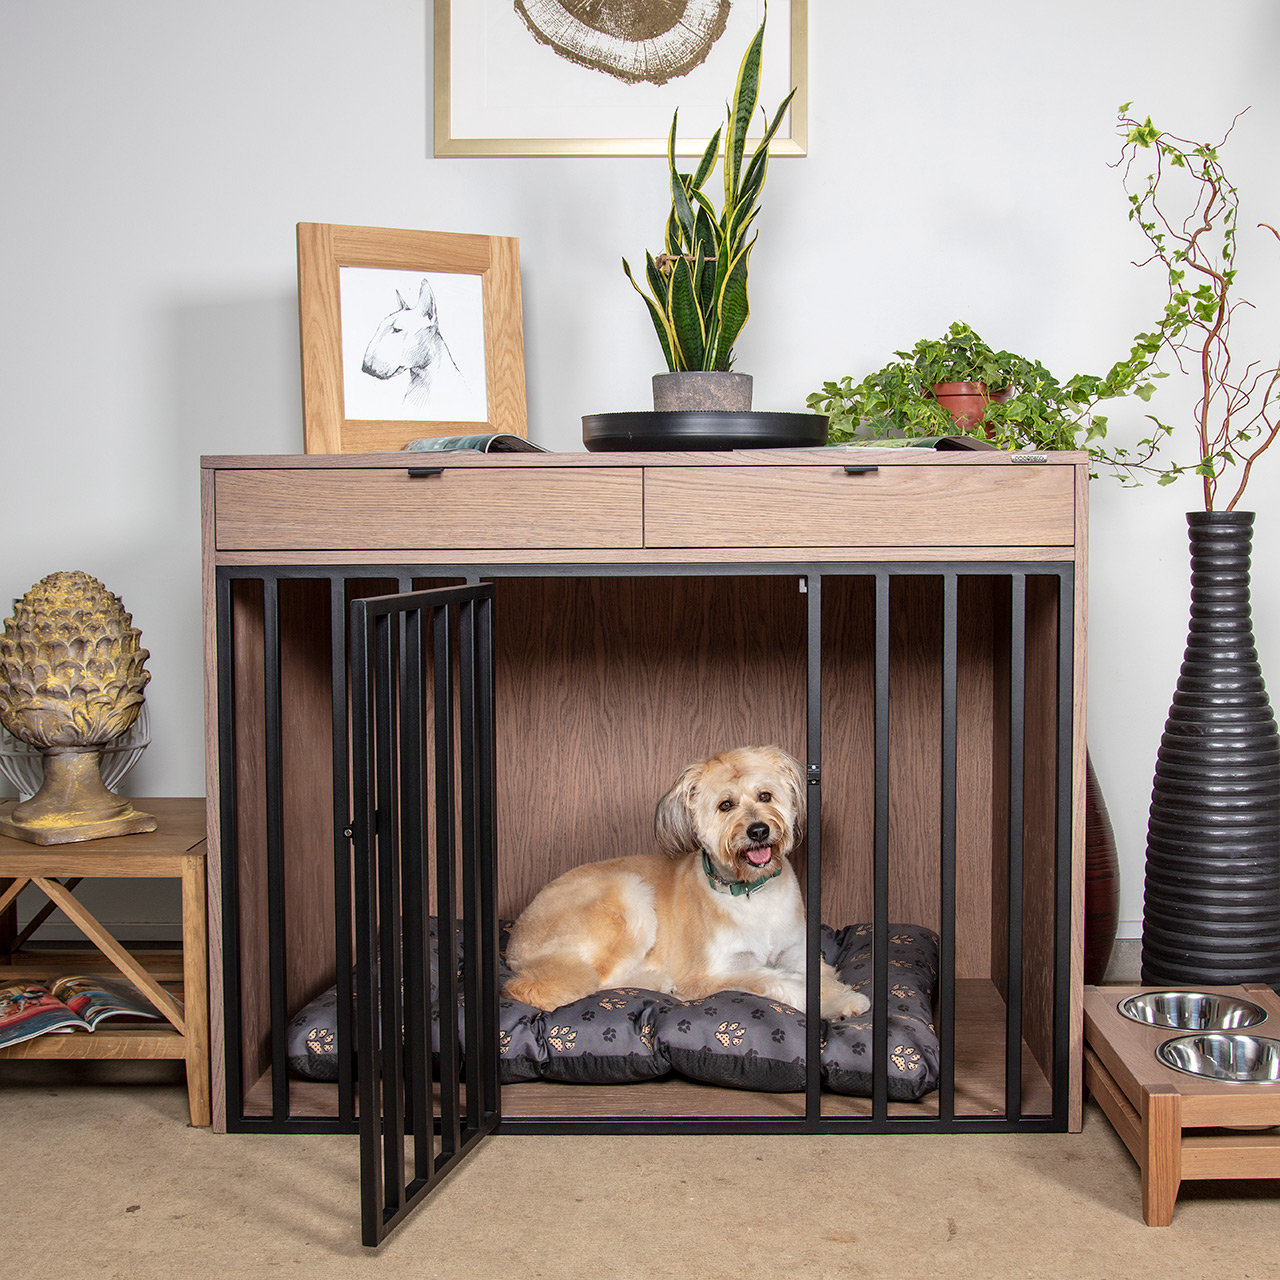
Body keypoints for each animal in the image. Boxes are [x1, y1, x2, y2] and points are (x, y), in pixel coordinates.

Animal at [499, 742, 870, 1018]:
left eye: (765, 796)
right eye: (725, 805)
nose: (758, 830)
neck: (751, 891)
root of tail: (516, 943)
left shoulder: (797, 952)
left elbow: (813, 974)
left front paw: (837, 997)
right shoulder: (710, 975)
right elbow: (776, 980)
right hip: (628, 893)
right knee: (596, 980)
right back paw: (655, 981)